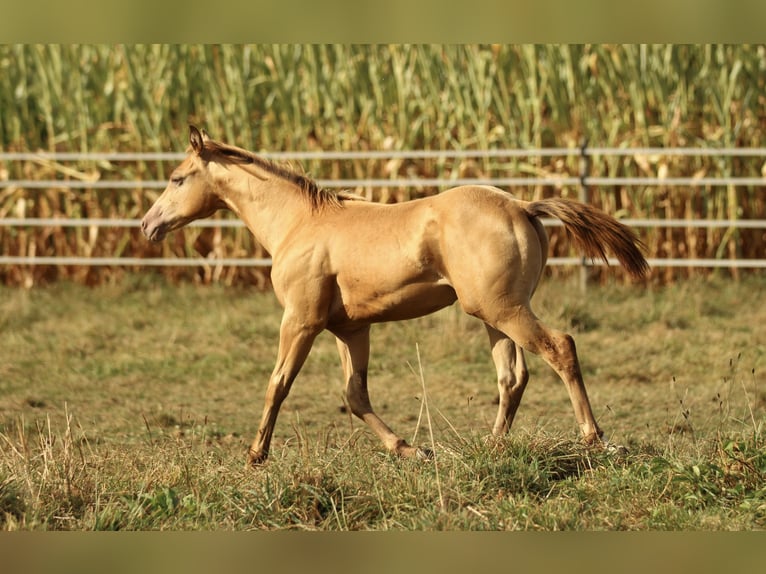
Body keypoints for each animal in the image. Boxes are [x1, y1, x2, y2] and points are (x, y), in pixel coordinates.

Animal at [140, 127, 648, 468]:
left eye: (177, 178)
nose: (147, 225)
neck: (298, 223)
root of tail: (522, 206)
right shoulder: (350, 328)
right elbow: (355, 395)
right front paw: (410, 449)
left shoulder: (300, 320)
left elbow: (278, 383)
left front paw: (255, 455)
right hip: (494, 314)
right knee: (513, 376)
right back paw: (493, 446)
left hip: (504, 309)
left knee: (561, 348)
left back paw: (596, 441)